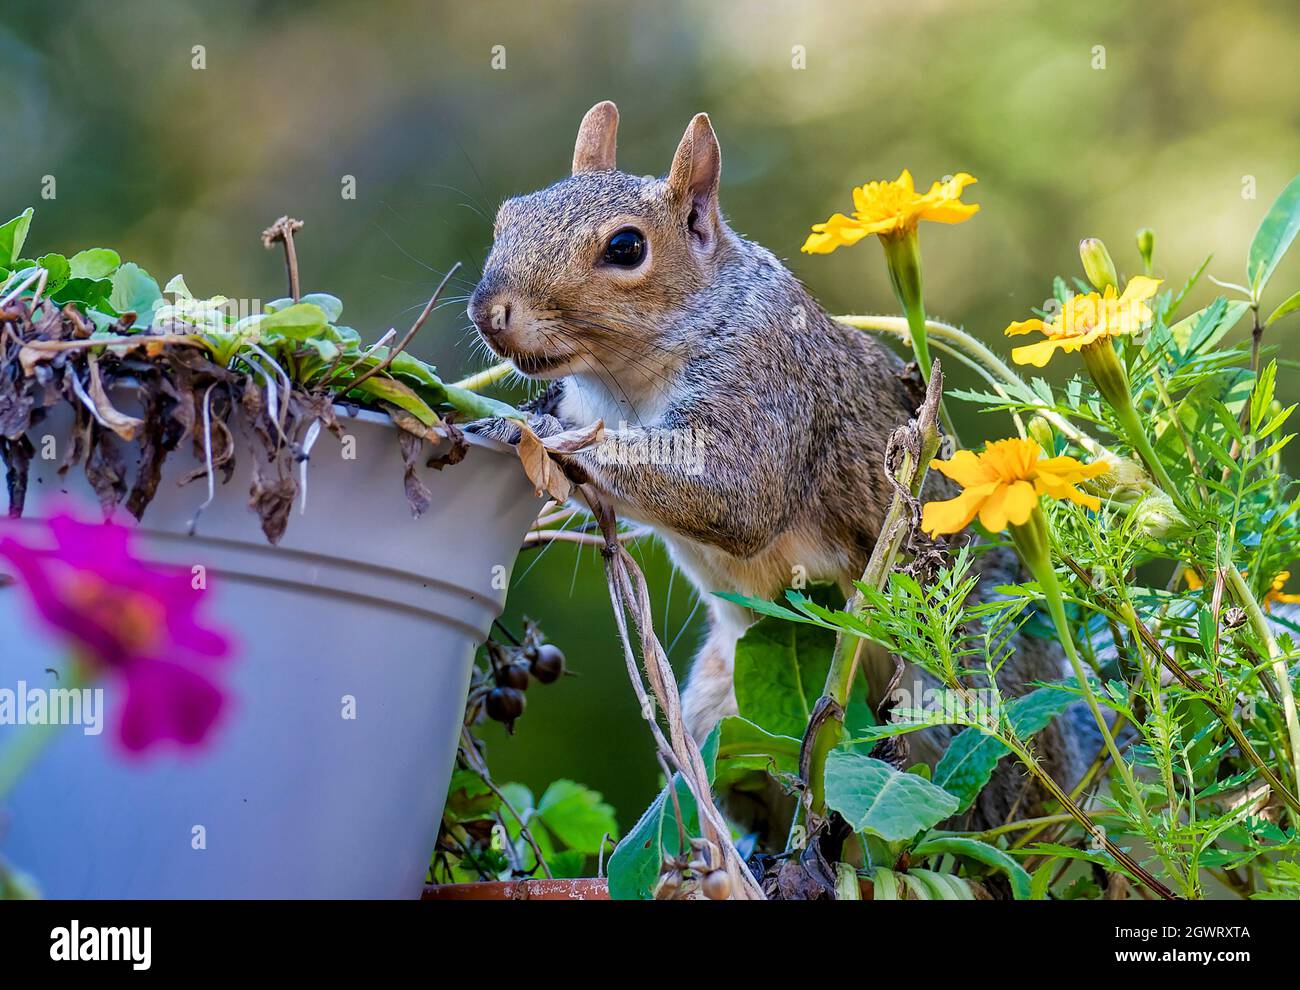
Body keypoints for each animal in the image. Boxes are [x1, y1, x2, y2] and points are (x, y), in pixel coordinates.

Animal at [467, 101, 1086, 826]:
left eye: (625, 249)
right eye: (507, 217)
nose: (489, 313)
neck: (623, 383)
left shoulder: (769, 384)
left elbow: (734, 497)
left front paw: (527, 430)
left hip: (967, 686)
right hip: (722, 709)